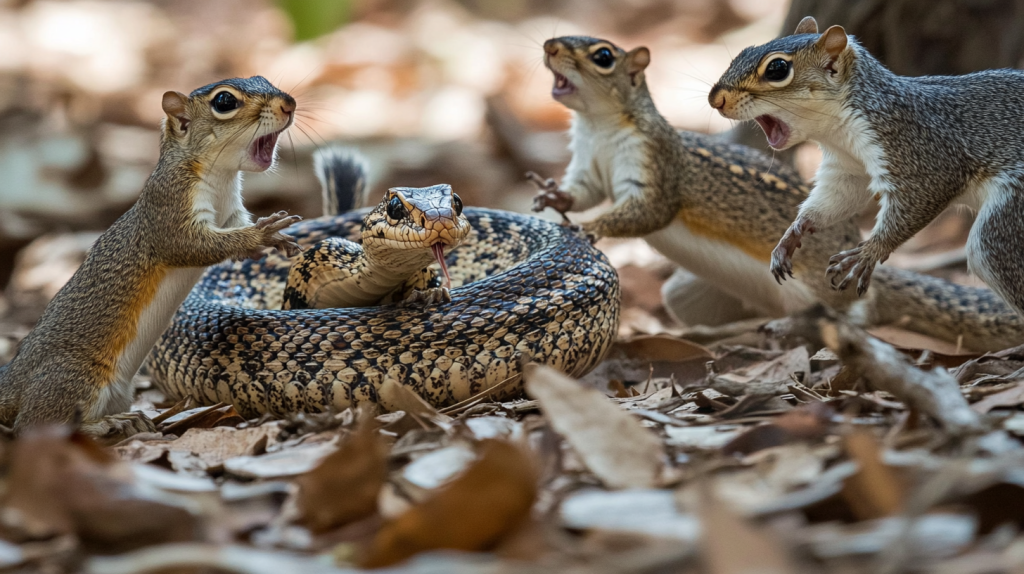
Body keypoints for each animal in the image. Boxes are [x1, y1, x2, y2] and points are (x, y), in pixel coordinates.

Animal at [0, 76, 301, 437]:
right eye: (225, 102)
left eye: (264, 80)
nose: (288, 104)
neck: (220, 177)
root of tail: (14, 384)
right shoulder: (168, 206)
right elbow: (188, 246)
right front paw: (262, 235)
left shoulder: (231, 214)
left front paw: (275, 238)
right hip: (73, 377)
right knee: (34, 426)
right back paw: (110, 423)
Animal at [528, 35, 1024, 351]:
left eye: (603, 56)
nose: (549, 46)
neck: (601, 128)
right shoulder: (587, 166)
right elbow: (582, 191)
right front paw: (554, 200)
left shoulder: (658, 164)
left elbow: (649, 210)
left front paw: (591, 228)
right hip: (687, 295)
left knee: (855, 314)